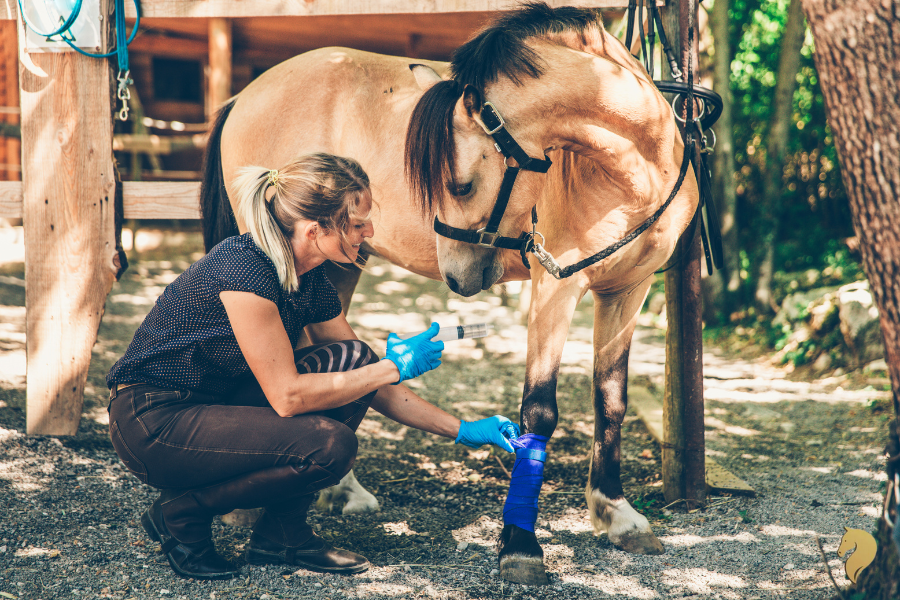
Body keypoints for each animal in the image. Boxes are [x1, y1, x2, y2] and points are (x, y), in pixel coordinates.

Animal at [200, 2, 698, 585]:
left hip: (336, 266)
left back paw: (340, 491)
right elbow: (539, 412)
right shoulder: (556, 286)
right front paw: (520, 545)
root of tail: (246, 94)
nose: (456, 277)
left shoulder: (627, 290)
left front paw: (617, 515)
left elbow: (611, 401)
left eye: (459, 184)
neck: (632, 169)